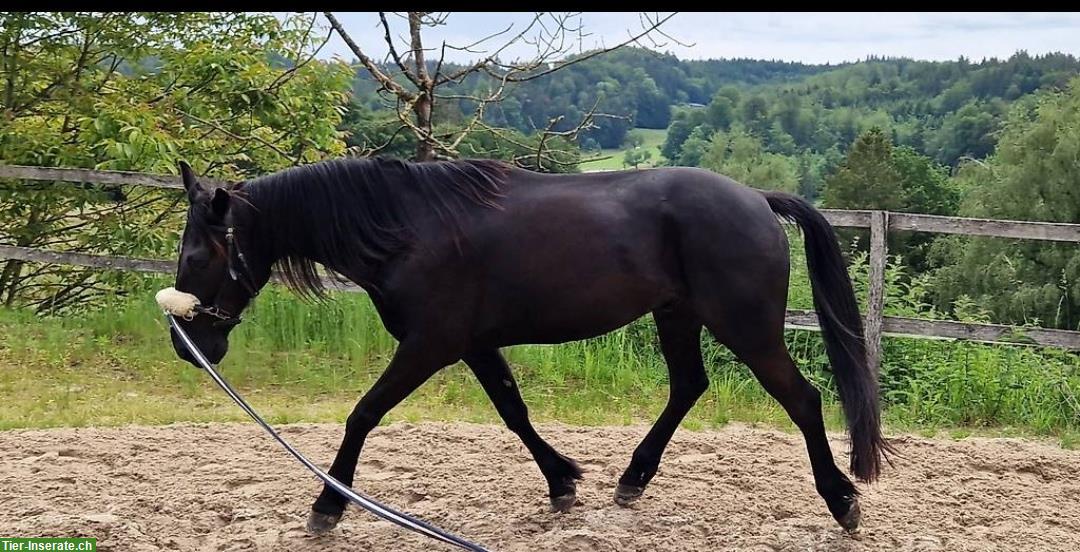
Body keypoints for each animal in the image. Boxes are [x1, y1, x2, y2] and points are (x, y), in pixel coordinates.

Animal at [168, 157, 889, 537]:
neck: (405, 230)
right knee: (689, 386)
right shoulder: (473, 344)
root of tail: (757, 201)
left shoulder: (429, 345)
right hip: (677, 316)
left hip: (747, 327)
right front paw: (564, 482)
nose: (186, 344)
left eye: (199, 255)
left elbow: (363, 414)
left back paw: (843, 502)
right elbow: (514, 412)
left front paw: (327, 506)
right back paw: (631, 481)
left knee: (804, 399)